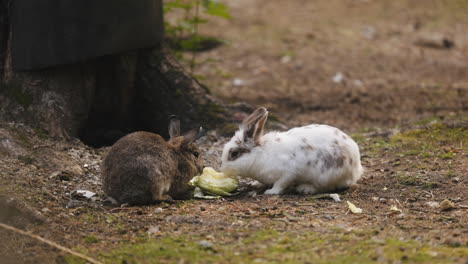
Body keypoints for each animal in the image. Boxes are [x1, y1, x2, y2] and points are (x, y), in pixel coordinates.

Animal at [221, 106, 364, 195]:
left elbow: (281, 183)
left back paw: (305, 188)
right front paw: (256, 184)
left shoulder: (288, 173)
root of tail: (356, 167)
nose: (223, 170)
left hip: (327, 175)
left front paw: (271, 192)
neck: (260, 154)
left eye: (234, 153)